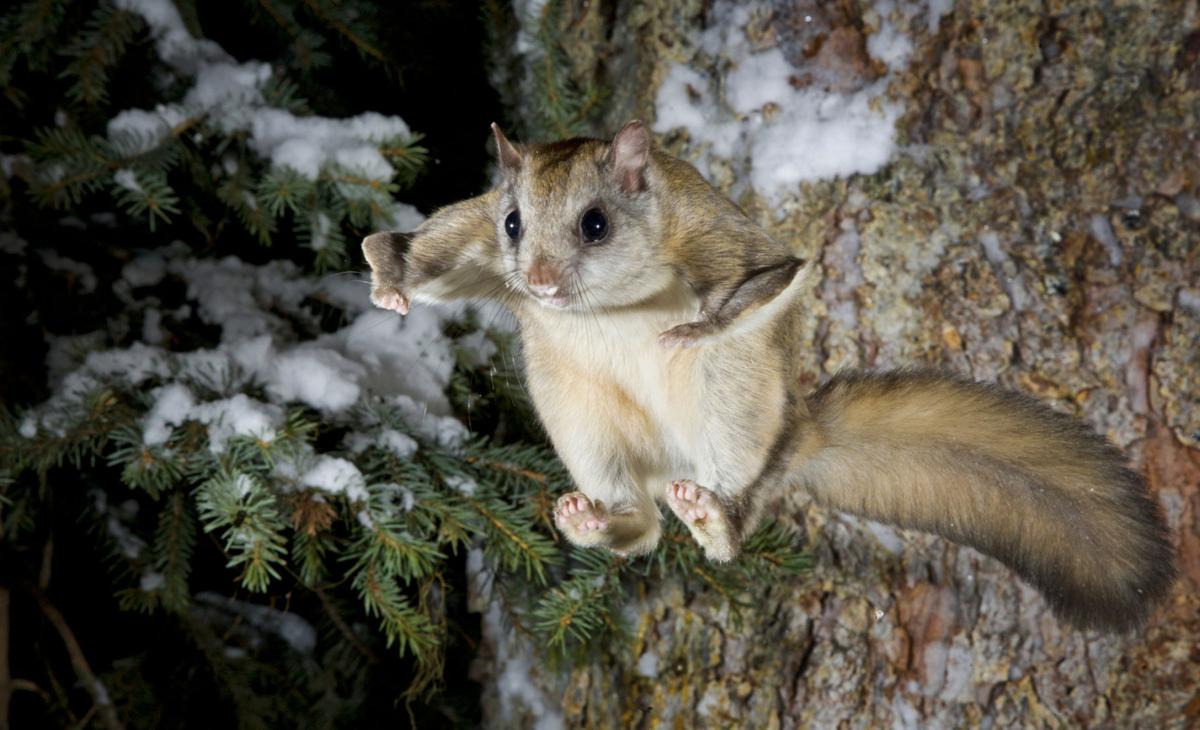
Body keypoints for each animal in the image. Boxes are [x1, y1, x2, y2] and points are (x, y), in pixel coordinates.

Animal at [360, 120, 1176, 633]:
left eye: (596, 223)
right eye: (512, 223)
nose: (538, 284)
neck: (611, 301)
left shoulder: (715, 235)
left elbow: (764, 276)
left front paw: (690, 329)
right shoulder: (473, 230)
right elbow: (440, 246)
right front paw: (390, 276)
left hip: (737, 404)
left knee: (734, 507)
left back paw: (716, 516)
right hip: (581, 417)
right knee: (642, 527)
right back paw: (598, 518)